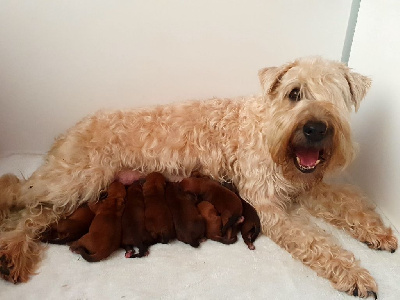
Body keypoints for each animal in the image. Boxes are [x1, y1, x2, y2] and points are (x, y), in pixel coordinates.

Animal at [0, 56, 396, 298]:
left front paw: (378, 233)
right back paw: (10, 246)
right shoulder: (270, 206)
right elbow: (318, 242)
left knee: (37, 215)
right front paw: (354, 274)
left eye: (337, 95)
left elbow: (348, 203)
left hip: (79, 189)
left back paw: (13, 255)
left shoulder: (306, 187)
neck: (268, 128)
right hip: (72, 180)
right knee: (21, 198)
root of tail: (68, 132)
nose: (315, 129)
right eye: (294, 93)